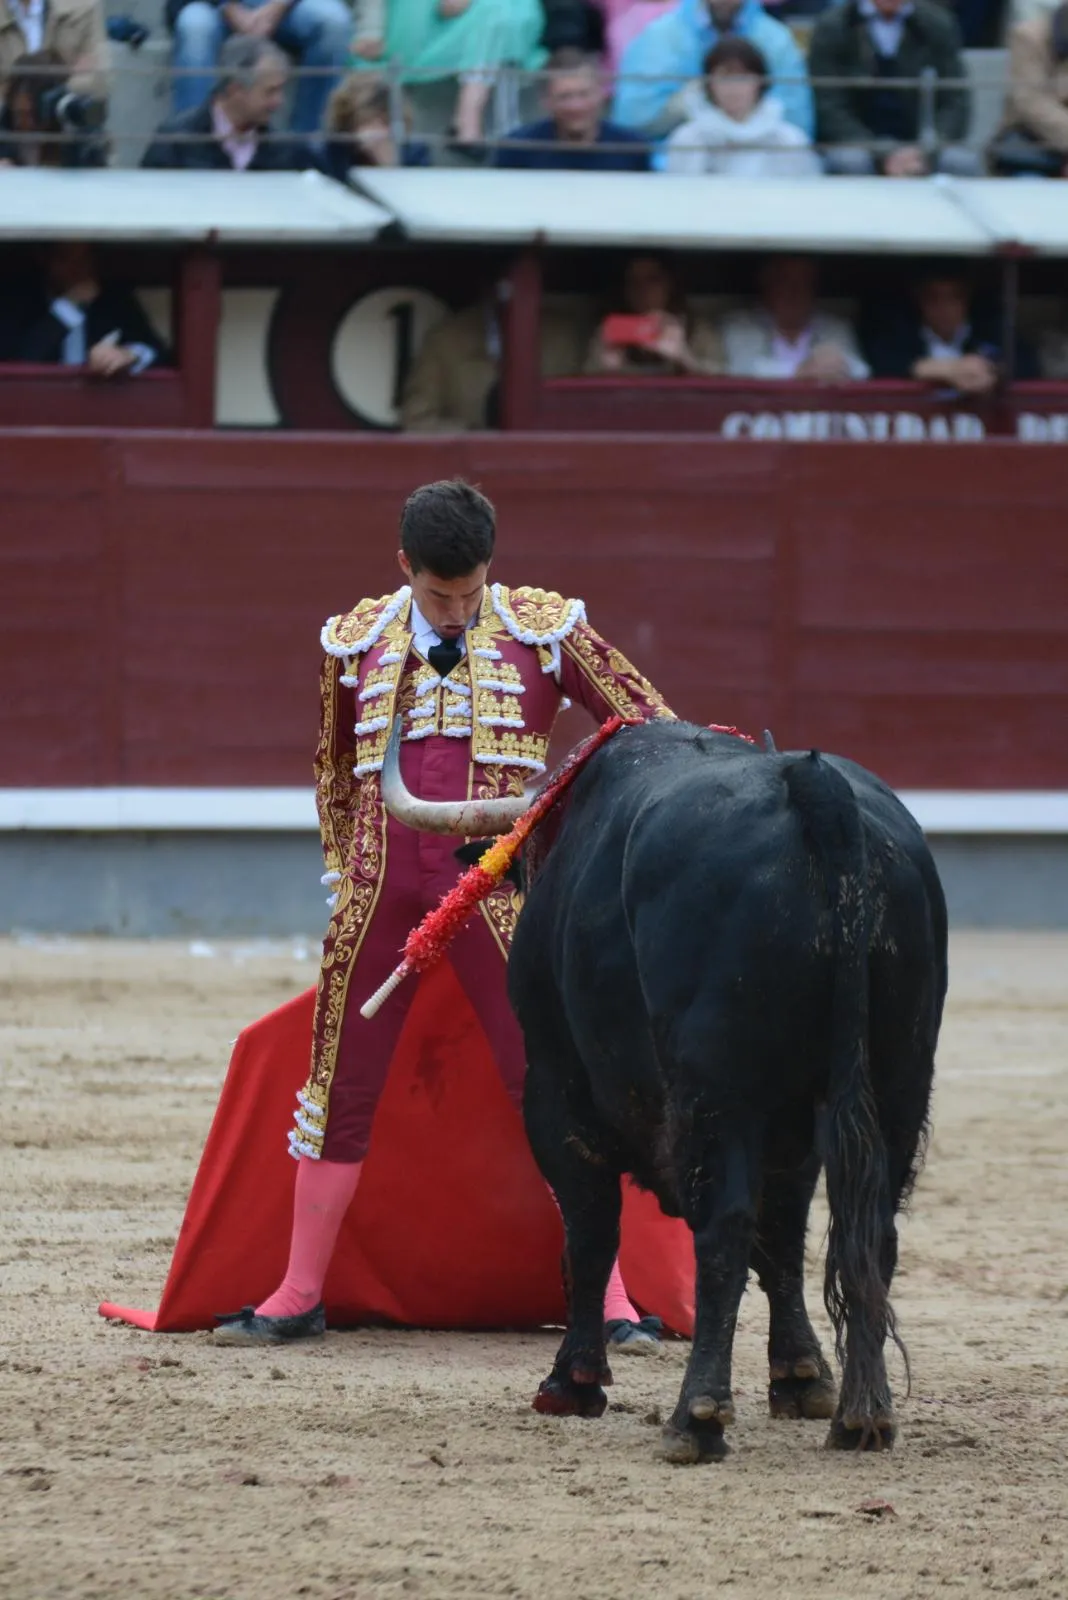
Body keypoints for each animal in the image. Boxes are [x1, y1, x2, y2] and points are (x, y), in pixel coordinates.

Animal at [511, 723, 952, 1465]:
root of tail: (817, 789)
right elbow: (786, 1239)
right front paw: (800, 1377)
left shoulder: (554, 1094)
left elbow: (591, 1235)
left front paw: (572, 1382)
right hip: (898, 1079)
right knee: (872, 1229)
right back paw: (862, 1416)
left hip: (722, 1091)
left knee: (723, 1228)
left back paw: (697, 1419)